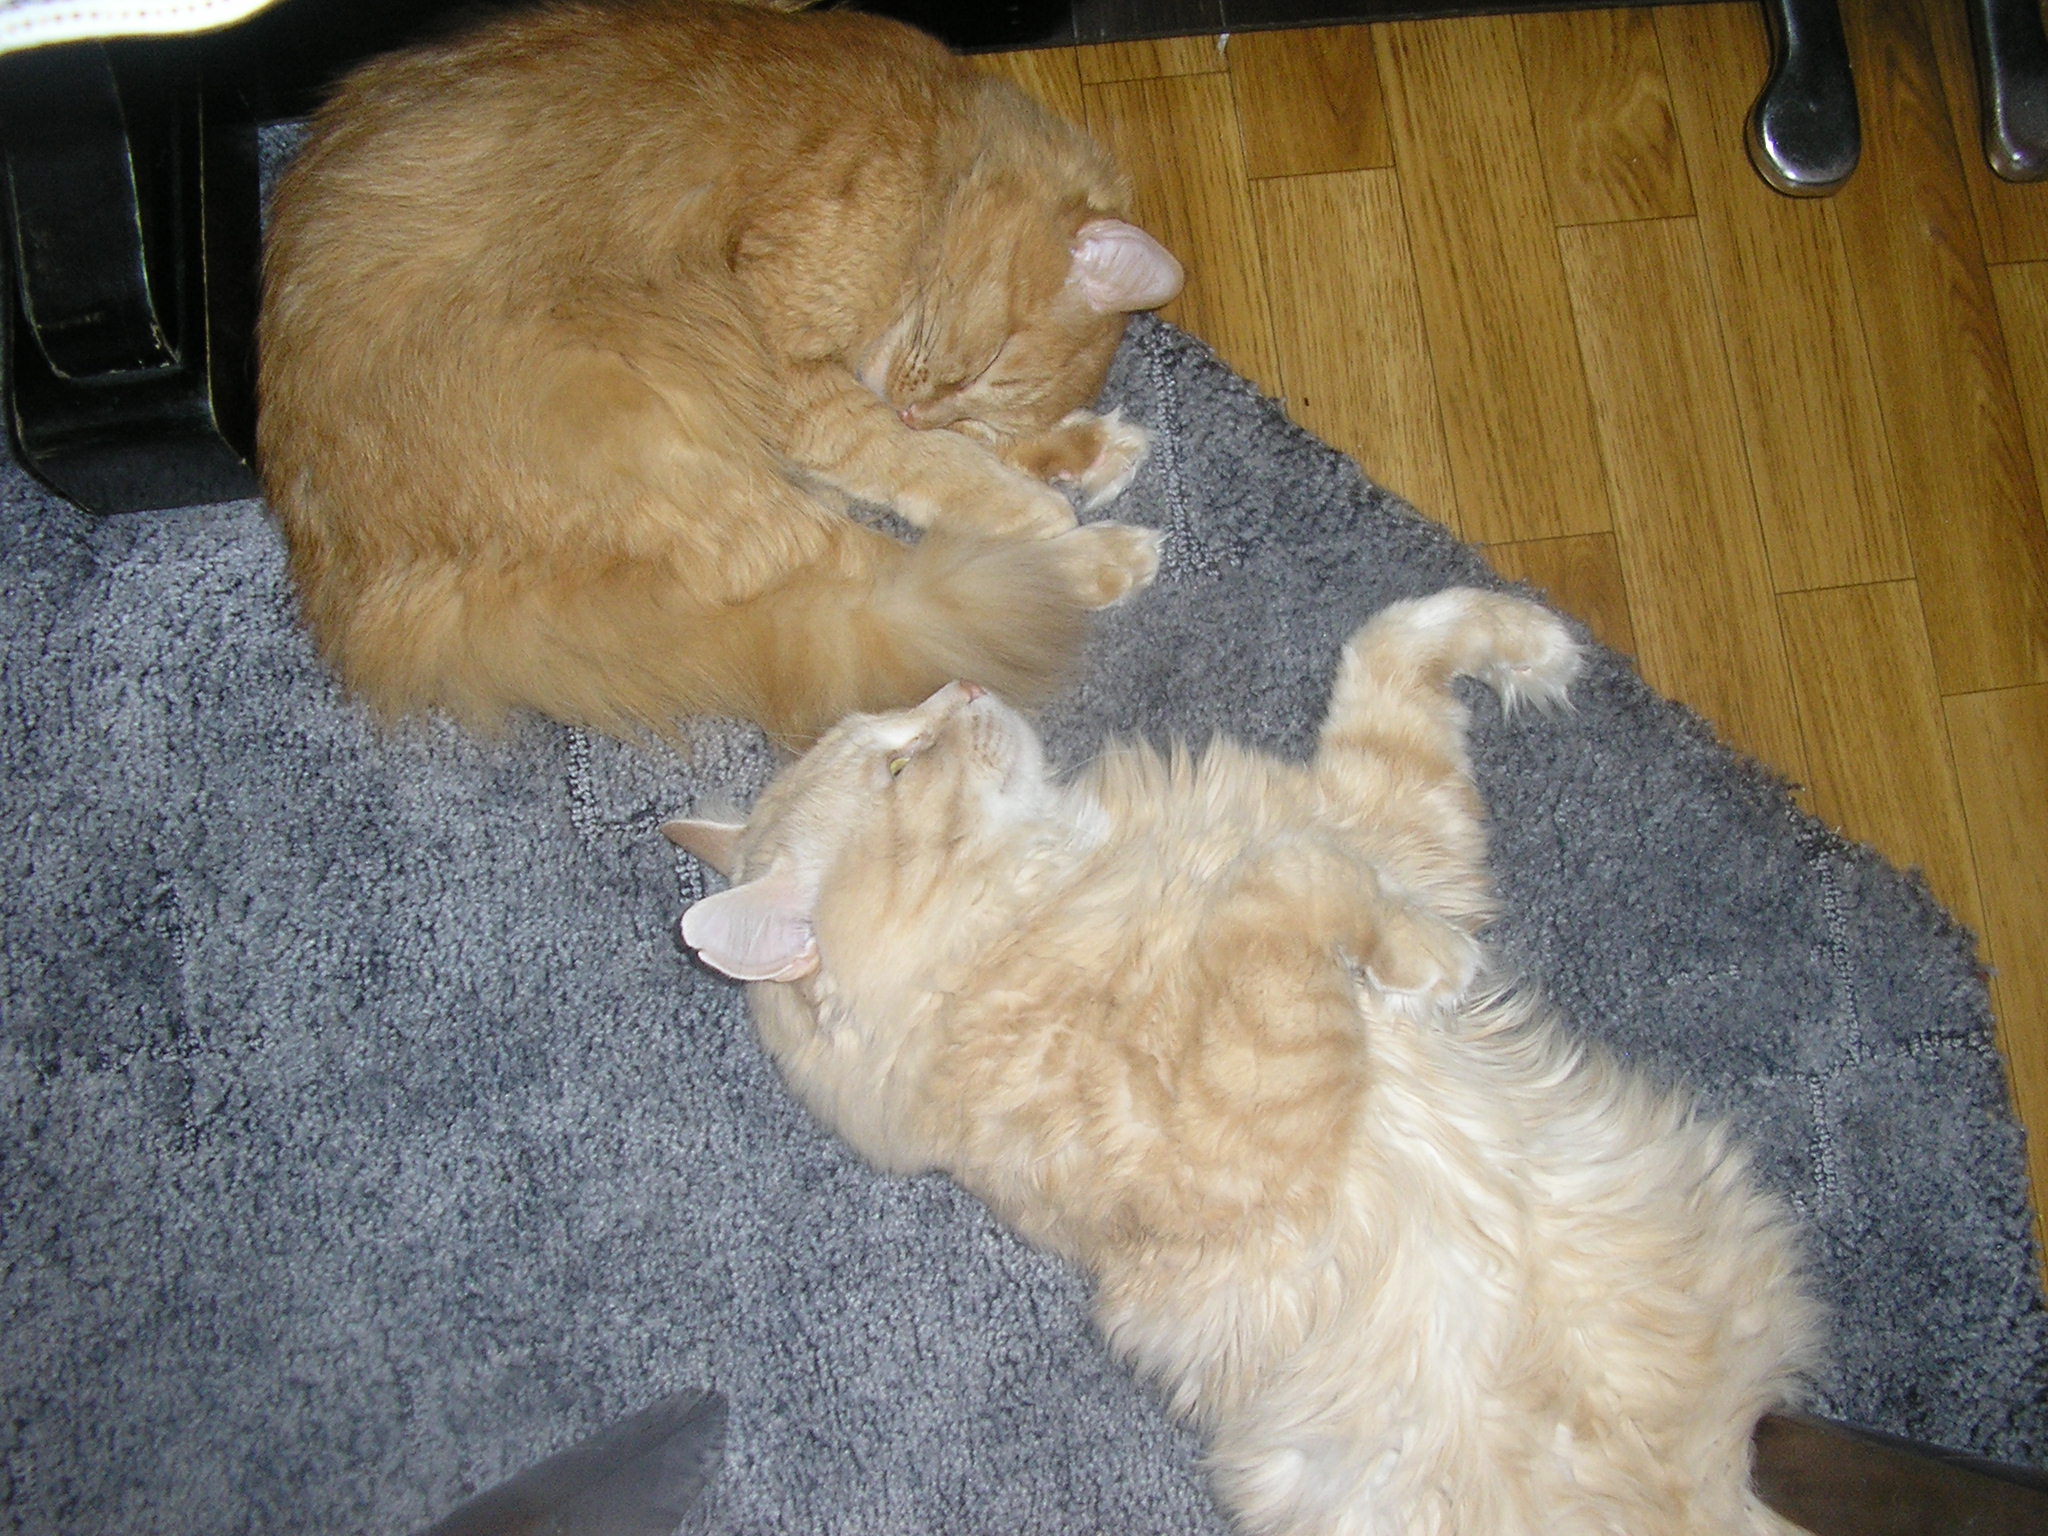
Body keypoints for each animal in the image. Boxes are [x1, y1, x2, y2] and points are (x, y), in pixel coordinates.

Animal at [258, 0, 1182, 745]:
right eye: (982, 364)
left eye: (982, 401)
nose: (927, 412)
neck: (942, 154)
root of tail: (351, 581)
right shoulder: (785, 347)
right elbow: (919, 463)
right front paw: (1031, 498)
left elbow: (941, 457)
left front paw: (1064, 447)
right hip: (663, 426)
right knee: (875, 571)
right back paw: (1099, 553)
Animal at [661, 587, 1822, 1536]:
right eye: (900, 765)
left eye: (898, 731)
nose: (967, 682)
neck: (1035, 904)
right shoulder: (1245, 1106)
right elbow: (1289, 884)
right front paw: (1427, 963)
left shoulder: (1387, 825)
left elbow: (1391, 643)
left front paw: (1526, 641)